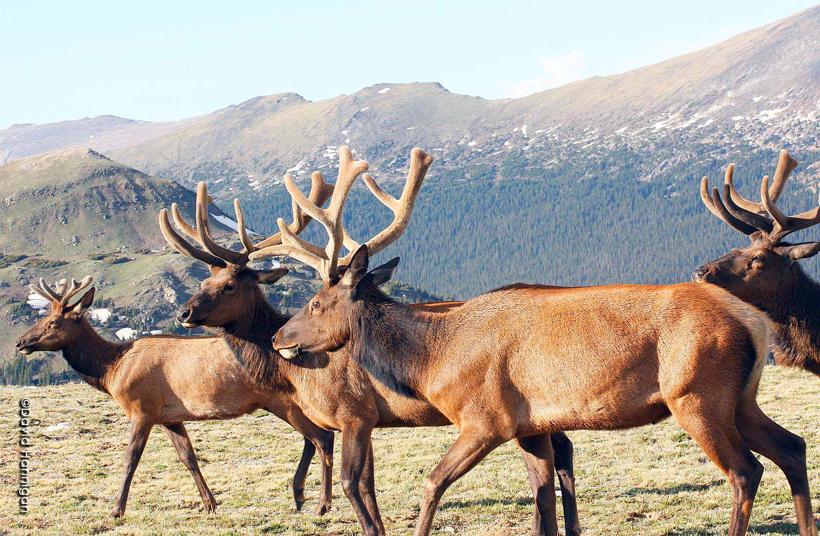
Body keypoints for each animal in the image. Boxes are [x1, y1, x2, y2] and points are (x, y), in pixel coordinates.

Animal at [15, 275, 335, 518]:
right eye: (45, 317)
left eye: (53, 323)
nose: (21, 342)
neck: (112, 370)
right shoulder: (169, 416)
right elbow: (188, 457)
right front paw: (210, 503)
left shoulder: (142, 409)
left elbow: (130, 458)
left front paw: (116, 510)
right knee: (313, 439)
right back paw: (300, 496)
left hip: (283, 401)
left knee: (322, 438)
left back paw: (321, 503)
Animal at [163, 148, 581, 536]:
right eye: (204, 280)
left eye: (229, 285)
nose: (184, 313)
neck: (297, 375)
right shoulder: (372, 418)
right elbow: (368, 483)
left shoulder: (354, 412)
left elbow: (352, 481)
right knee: (560, 452)